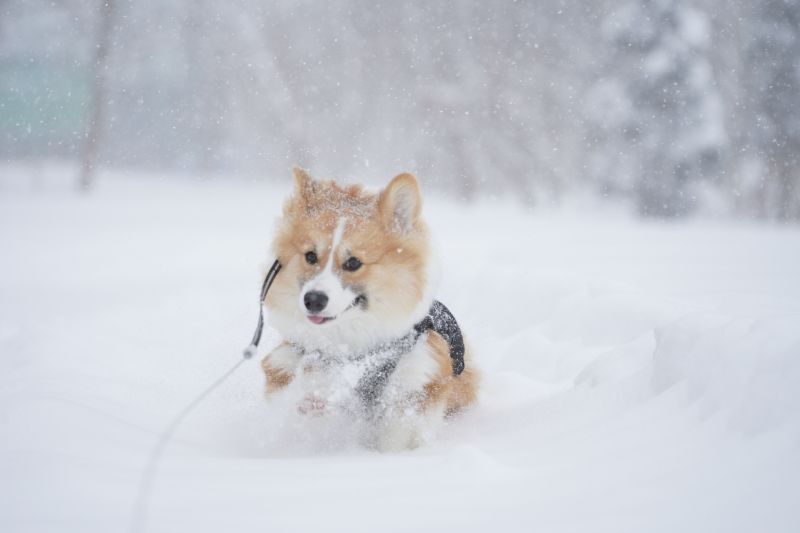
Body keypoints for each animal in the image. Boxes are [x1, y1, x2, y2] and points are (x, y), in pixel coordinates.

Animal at [260, 167, 478, 448]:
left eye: (353, 263)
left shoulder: (419, 378)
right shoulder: (289, 360)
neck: (351, 343)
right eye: (310, 256)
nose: (313, 300)